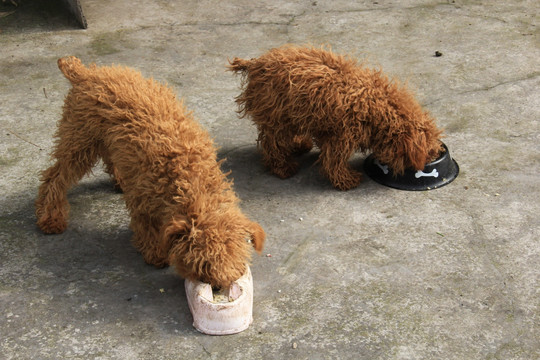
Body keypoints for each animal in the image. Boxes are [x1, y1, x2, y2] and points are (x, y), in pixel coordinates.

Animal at [34, 57, 264, 288]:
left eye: (235, 257)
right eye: (203, 264)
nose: (218, 287)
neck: (190, 176)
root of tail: (85, 73)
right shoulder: (142, 199)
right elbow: (146, 226)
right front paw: (155, 253)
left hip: (103, 140)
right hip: (79, 141)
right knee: (54, 177)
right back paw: (51, 217)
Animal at [229, 44, 442, 190]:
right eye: (428, 149)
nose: (435, 155)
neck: (377, 106)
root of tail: (255, 63)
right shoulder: (343, 135)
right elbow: (333, 161)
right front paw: (346, 180)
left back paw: (299, 145)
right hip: (278, 118)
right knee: (273, 144)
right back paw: (283, 167)